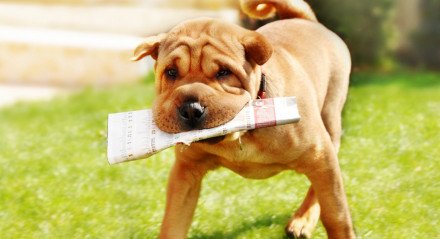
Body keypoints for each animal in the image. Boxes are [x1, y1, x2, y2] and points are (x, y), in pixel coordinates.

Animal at [133, 0, 354, 238]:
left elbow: (336, 214)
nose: (191, 109)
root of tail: (306, 21)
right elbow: (173, 222)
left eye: (224, 72)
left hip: (330, 121)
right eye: (171, 72)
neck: (242, 133)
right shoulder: (185, 171)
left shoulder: (320, 156)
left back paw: (302, 220)